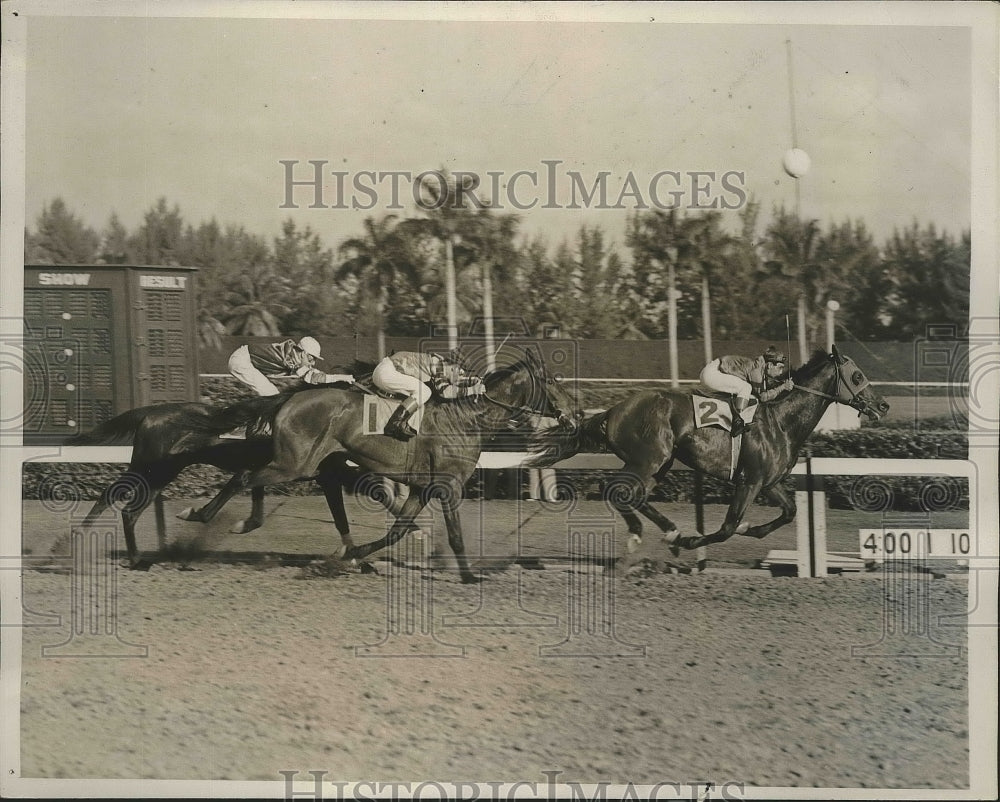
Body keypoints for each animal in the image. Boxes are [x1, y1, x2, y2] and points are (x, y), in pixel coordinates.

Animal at [194, 350, 580, 580]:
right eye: (552, 381)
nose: (575, 415)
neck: (467, 420)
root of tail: (291, 398)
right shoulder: (449, 486)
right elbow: (454, 535)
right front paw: (469, 575)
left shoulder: (423, 488)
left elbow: (397, 531)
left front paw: (351, 556)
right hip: (295, 464)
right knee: (244, 476)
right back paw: (199, 515)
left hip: (305, 462)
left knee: (251, 476)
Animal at [532, 344, 892, 552]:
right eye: (857, 376)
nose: (883, 405)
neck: (781, 422)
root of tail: (613, 411)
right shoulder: (748, 481)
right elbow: (727, 527)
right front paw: (696, 540)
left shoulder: (768, 482)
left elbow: (789, 512)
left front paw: (753, 530)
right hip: (649, 459)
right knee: (617, 490)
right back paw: (651, 533)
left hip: (659, 463)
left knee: (634, 495)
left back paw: (668, 531)